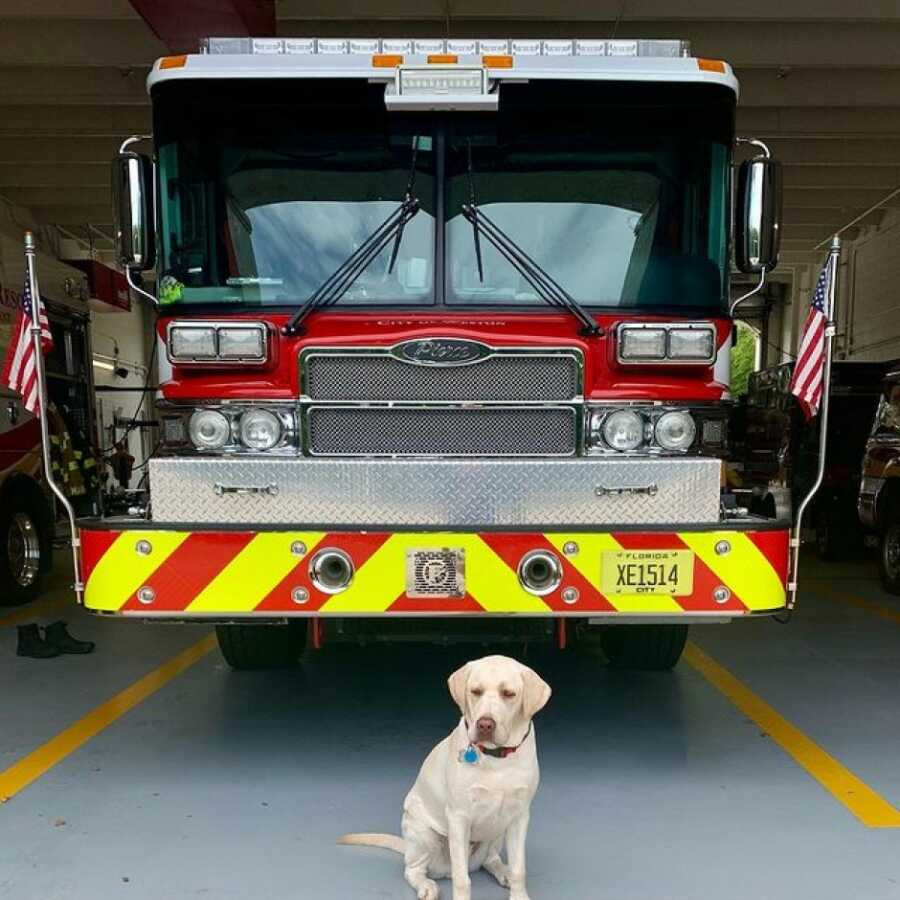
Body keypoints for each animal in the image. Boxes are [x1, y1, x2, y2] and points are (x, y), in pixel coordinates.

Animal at [338, 652, 548, 900]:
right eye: (475, 691)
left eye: (509, 694)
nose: (485, 724)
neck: (496, 757)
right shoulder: (459, 817)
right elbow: (462, 879)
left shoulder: (519, 816)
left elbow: (519, 869)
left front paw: (518, 892)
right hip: (426, 835)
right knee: (414, 870)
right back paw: (426, 885)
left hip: (498, 828)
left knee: (490, 860)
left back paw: (502, 871)